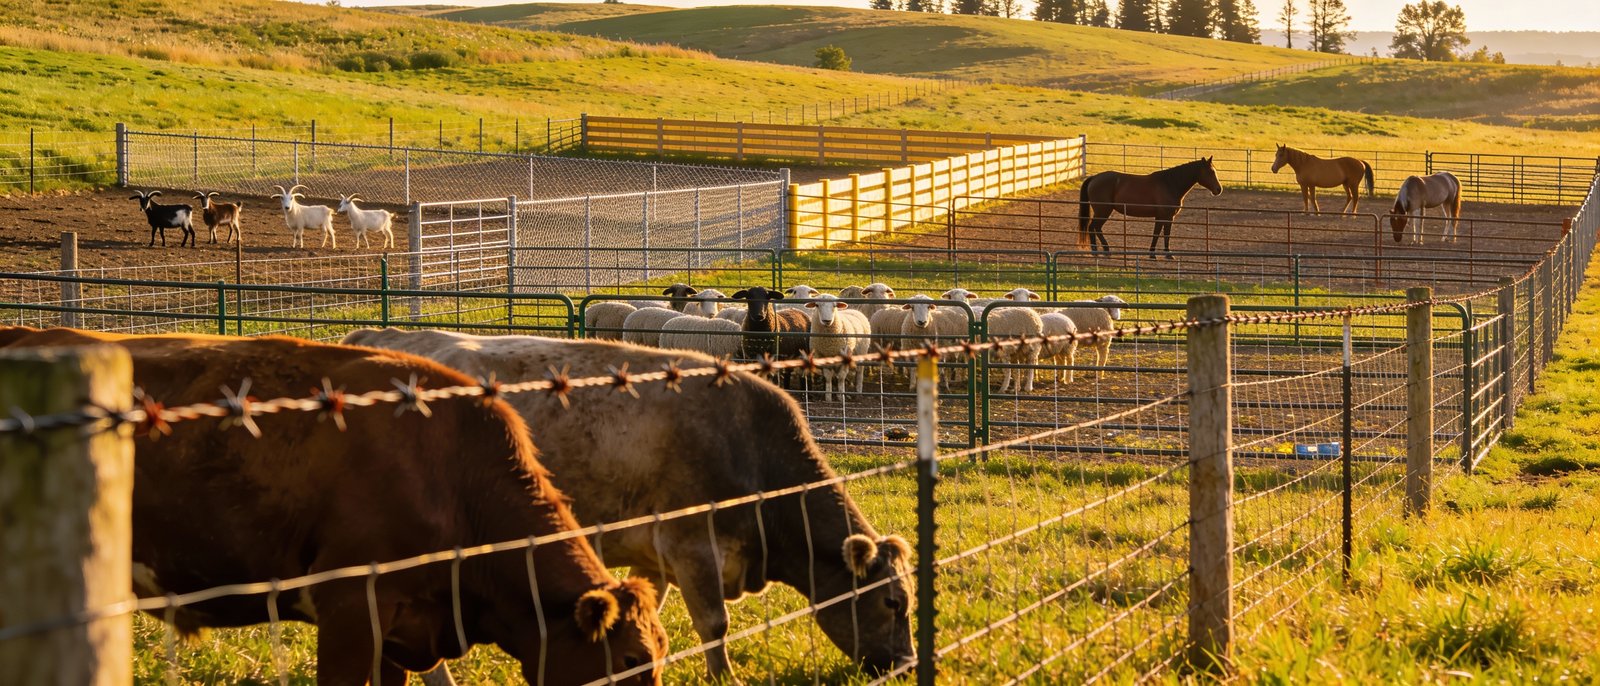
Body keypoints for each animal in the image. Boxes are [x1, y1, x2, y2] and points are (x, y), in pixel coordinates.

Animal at [340, 328, 915, 682]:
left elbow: (647, 623)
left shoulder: (653, 557)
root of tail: (380, 339)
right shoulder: (692, 545)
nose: (908, 665)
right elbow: (715, 625)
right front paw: (725, 678)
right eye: (893, 602)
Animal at [1077, 157, 1223, 259]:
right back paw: (1101, 251)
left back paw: (1101, 251)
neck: (1169, 184)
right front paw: (1157, 254)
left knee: (1095, 228)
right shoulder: (1164, 216)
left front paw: (1161, 254)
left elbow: (1163, 234)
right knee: (1094, 227)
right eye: (1210, 172)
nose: (1218, 190)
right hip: (1103, 211)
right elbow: (1160, 234)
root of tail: (1094, 178)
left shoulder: (1166, 217)